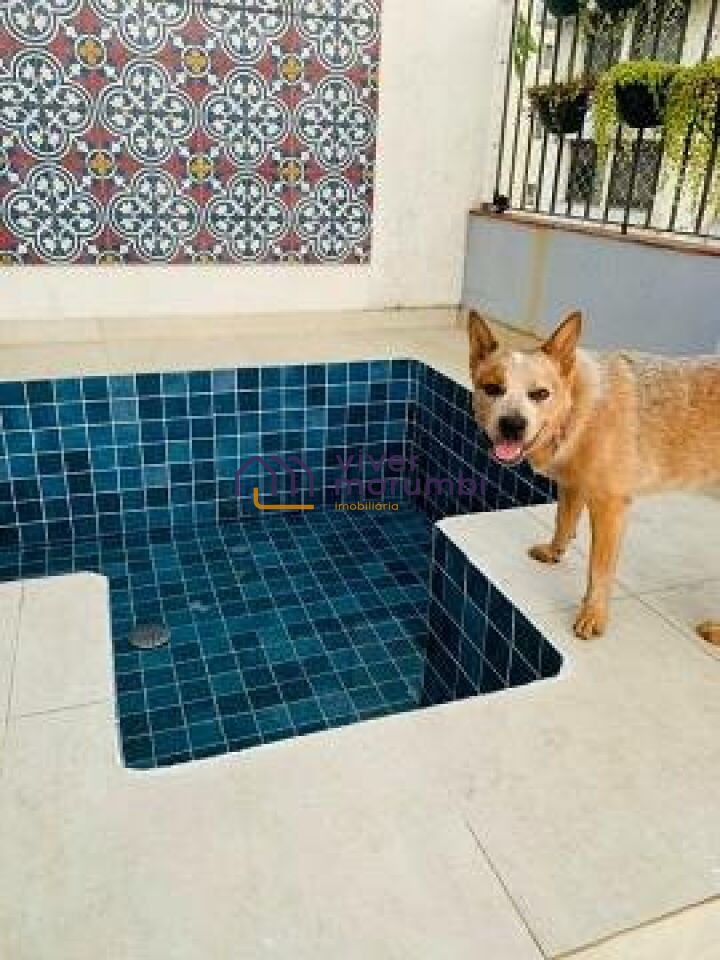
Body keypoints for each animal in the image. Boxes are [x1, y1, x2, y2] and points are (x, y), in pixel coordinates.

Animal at [468, 310, 720, 642]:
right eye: (493, 388)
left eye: (540, 394)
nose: (512, 425)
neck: (576, 410)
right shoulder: (573, 484)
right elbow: (563, 520)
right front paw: (554, 551)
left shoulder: (610, 505)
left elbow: (599, 569)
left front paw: (593, 614)